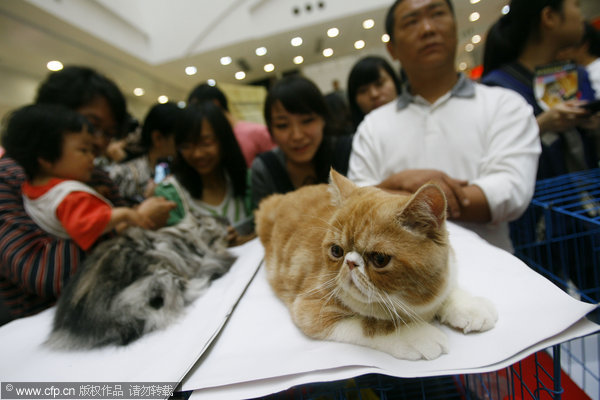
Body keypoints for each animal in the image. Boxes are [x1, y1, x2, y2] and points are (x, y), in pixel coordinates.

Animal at [256, 169, 496, 360]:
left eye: (379, 259)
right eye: (336, 251)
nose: (350, 262)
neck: (412, 303)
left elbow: (449, 289)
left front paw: (469, 306)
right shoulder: (310, 307)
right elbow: (372, 323)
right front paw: (416, 334)